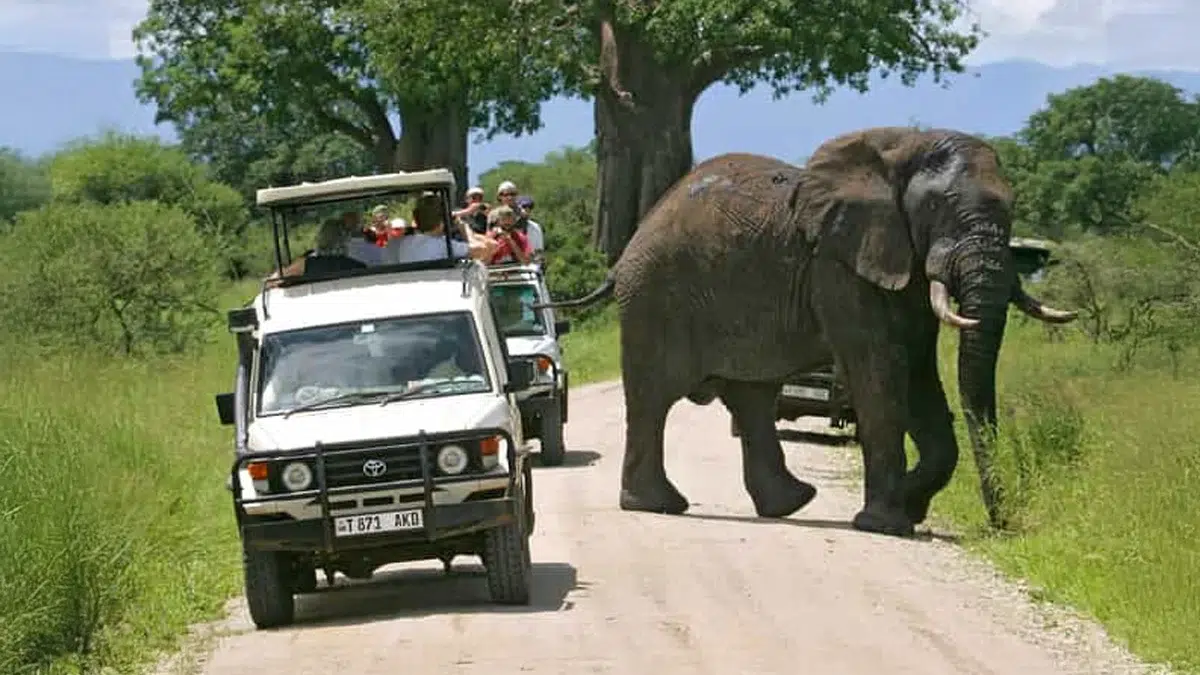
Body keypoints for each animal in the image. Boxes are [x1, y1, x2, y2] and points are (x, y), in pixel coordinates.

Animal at [536, 126, 1078, 537]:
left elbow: (920, 375)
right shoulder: (836, 266)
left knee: (752, 398)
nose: (1001, 525)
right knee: (655, 396)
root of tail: (628, 247)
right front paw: (886, 525)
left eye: (1013, 206)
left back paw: (789, 504)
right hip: (656, 298)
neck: (903, 147)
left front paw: (908, 506)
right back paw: (658, 506)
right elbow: (881, 372)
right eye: (937, 208)